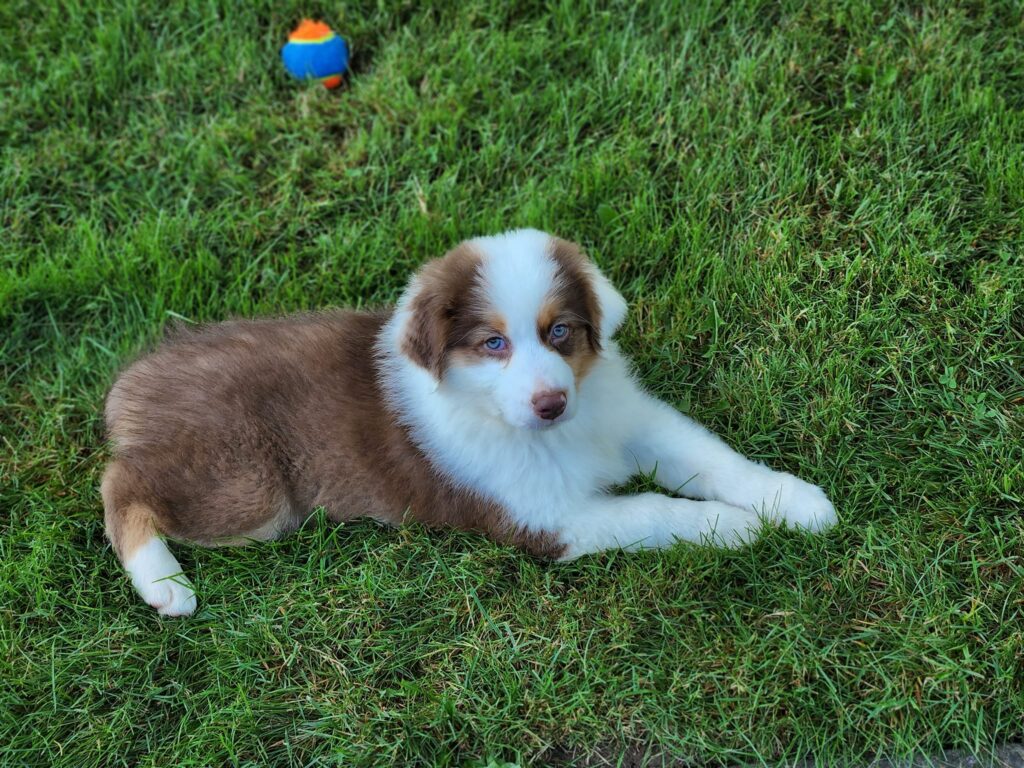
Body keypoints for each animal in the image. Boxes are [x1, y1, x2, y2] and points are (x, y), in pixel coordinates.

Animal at [101, 231, 839, 618]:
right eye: (492, 344)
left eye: (560, 331)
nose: (551, 403)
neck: (550, 434)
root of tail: (135, 377)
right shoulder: (546, 517)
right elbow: (654, 510)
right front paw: (735, 527)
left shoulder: (633, 419)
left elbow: (713, 458)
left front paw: (795, 501)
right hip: (246, 486)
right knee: (121, 482)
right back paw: (164, 583)